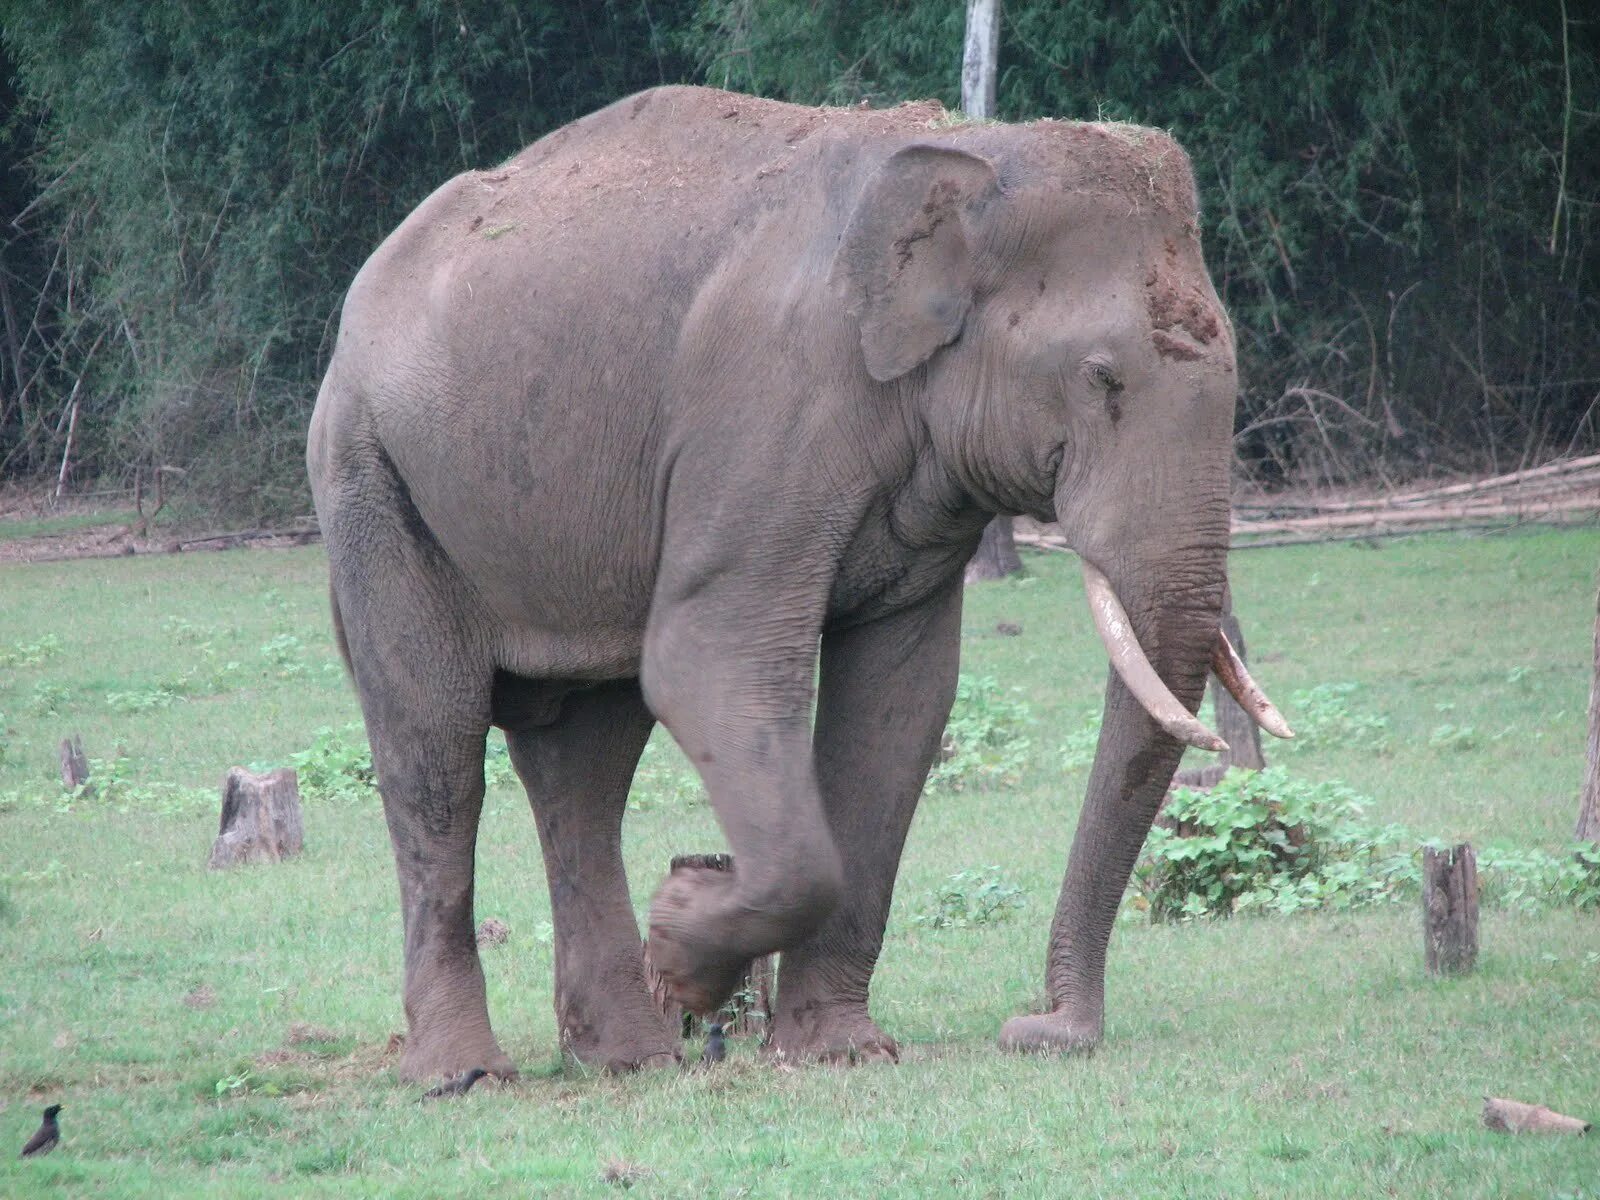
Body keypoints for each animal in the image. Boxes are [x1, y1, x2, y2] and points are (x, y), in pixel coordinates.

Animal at [305, 84, 1292, 1081]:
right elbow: (709, 666)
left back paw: (629, 1059)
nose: (1037, 1029)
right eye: (1102, 379)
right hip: (370, 478)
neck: (979, 154)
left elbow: (902, 702)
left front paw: (837, 1049)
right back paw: (465, 1076)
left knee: (584, 756)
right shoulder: (763, 416)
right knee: (434, 745)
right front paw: (685, 938)